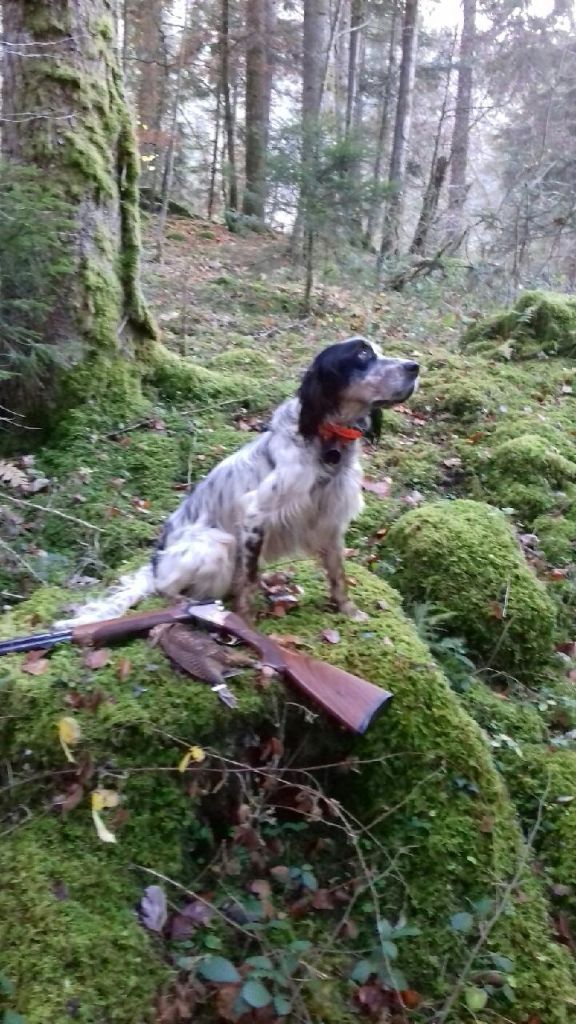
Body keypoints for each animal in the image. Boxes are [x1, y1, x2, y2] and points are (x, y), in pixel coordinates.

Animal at [56, 337, 416, 622]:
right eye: (362, 355)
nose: (415, 367)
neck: (326, 440)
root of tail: (156, 560)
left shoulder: (330, 520)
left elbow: (338, 574)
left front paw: (349, 611)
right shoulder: (256, 514)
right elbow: (249, 578)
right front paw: (246, 622)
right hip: (216, 544)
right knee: (165, 587)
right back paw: (189, 605)